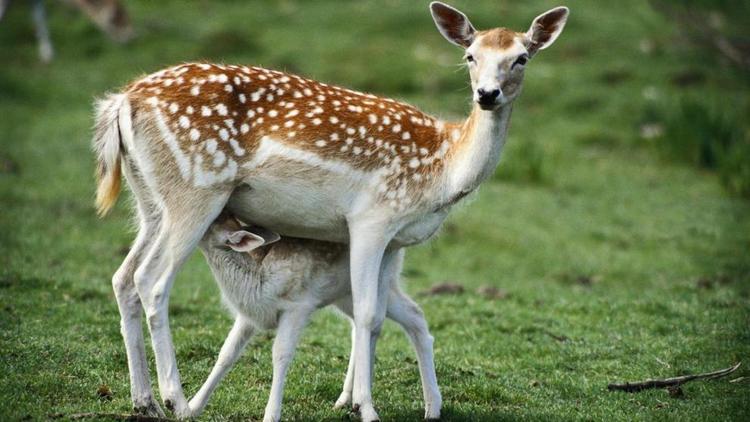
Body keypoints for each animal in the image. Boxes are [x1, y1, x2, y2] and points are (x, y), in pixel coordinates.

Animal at [94, 2, 572, 418]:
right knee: (152, 281)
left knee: (122, 277)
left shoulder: (395, 242)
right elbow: (368, 314)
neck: (442, 172)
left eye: (522, 58)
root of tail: (121, 102)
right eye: (470, 55)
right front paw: (367, 409)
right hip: (197, 191)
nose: (487, 94)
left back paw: (143, 401)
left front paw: (358, 402)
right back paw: (174, 399)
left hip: (150, 200)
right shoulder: (372, 219)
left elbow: (372, 316)